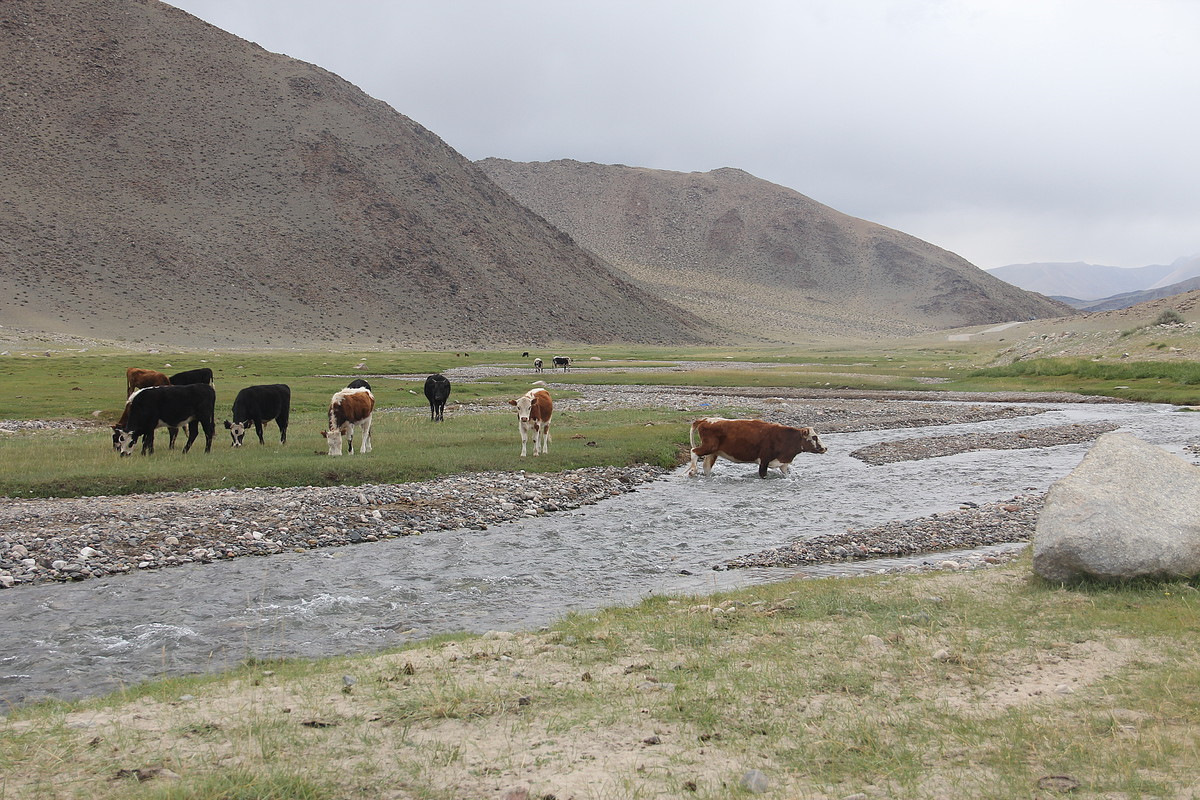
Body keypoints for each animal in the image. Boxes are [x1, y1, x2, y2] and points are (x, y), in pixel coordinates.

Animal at [691, 417, 830, 479]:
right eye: (814, 437)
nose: (825, 448)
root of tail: (706, 419)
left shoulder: (783, 463)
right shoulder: (764, 460)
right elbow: (763, 474)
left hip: (713, 452)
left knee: (706, 466)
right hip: (709, 446)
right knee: (694, 451)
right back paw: (692, 471)